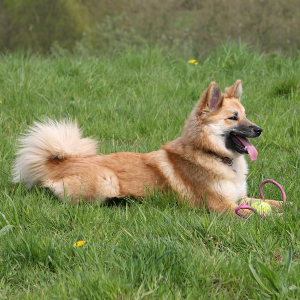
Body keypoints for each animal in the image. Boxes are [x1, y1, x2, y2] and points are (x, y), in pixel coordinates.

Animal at [12, 80, 284, 216]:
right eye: (233, 118)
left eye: (246, 115)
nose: (259, 130)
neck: (214, 155)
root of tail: (61, 160)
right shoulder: (220, 205)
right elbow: (257, 213)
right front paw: (274, 218)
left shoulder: (238, 197)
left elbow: (271, 202)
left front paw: (286, 207)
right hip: (106, 180)